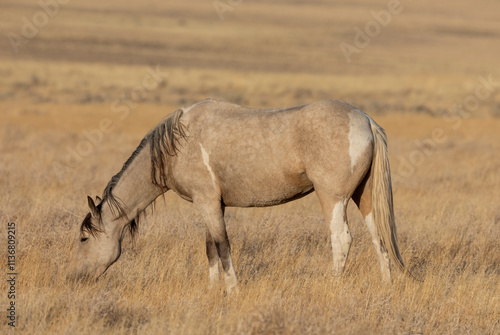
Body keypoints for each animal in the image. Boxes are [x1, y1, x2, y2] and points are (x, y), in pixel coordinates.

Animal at [69, 98, 406, 292]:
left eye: (83, 239)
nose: (77, 279)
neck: (177, 145)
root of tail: (366, 120)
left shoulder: (207, 203)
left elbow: (223, 246)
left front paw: (232, 290)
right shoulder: (211, 205)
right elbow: (210, 249)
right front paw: (211, 291)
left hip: (332, 199)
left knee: (342, 240)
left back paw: (330, 287)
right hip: (363, 198)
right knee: (378, 238)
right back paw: (386, 286)